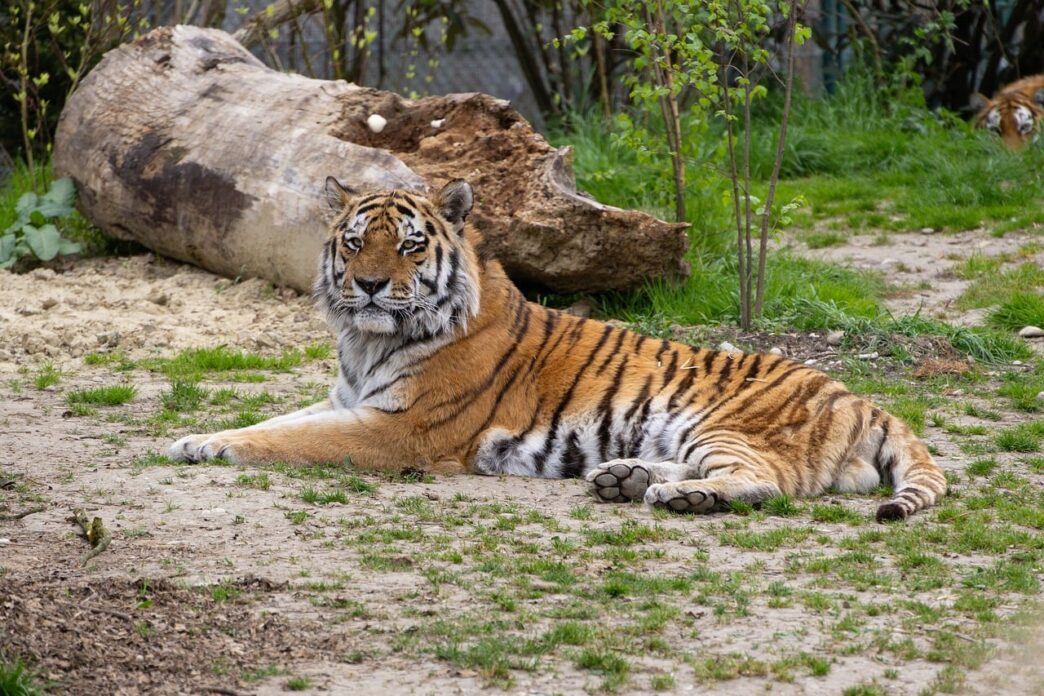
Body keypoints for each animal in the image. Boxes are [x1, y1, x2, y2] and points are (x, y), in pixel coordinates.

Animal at [168, 178, 947, 522]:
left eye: (411, 246)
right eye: (357, 242)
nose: (366, 285)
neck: (365, 341)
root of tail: (862, 397)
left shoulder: (397, 431)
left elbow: (292, 441)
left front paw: (212, 446)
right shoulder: (346, 399)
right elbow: (276, 421)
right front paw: (193, 437)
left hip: (729, 425)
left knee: (769, 483)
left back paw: (677, 495)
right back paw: (624, 478)